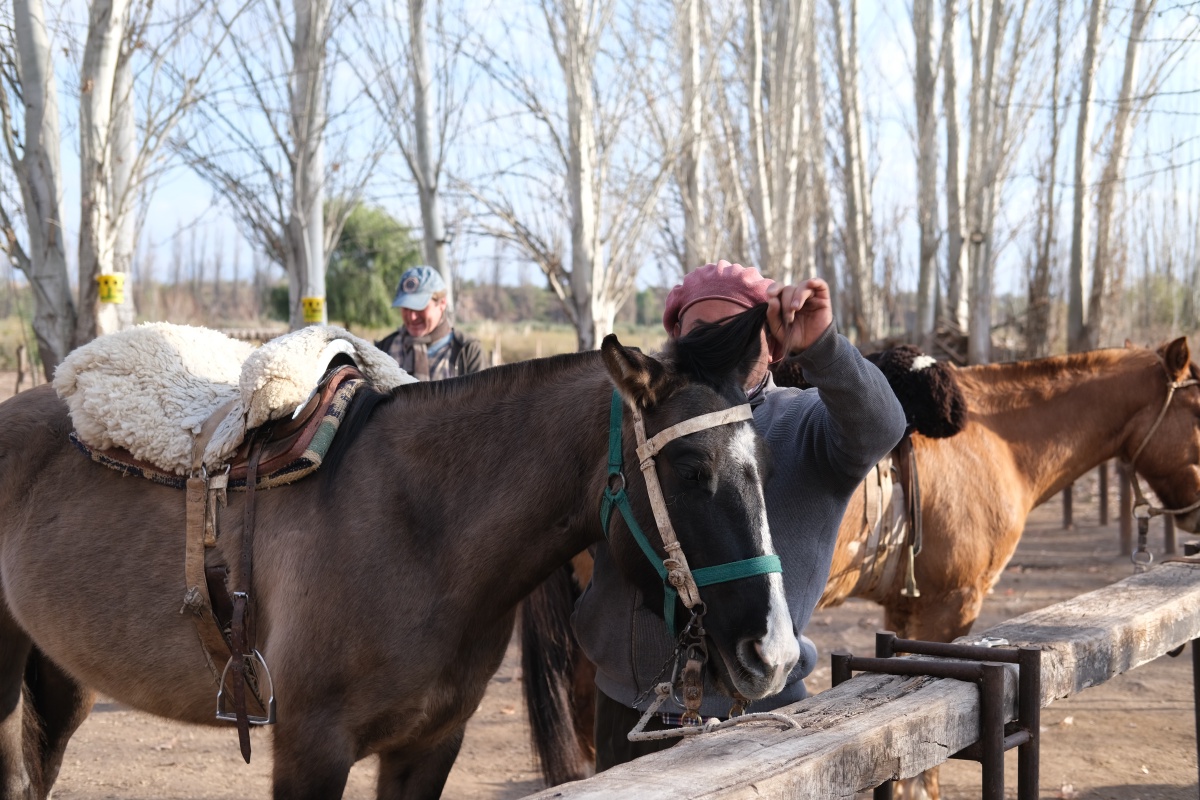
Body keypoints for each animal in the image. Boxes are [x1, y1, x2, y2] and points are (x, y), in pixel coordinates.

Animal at [0, 304, 800, 800]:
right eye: (690, 471)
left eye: (763, 461)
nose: (774, 654)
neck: (421, 533)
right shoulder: (310, 750)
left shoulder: (428, 747)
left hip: (63, 678)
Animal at [521, 337, 1200, 799]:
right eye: (1196, 413)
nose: (1194, 517)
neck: (996, 441)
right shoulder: (949, 610)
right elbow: (931, 758)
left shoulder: (908, 610)